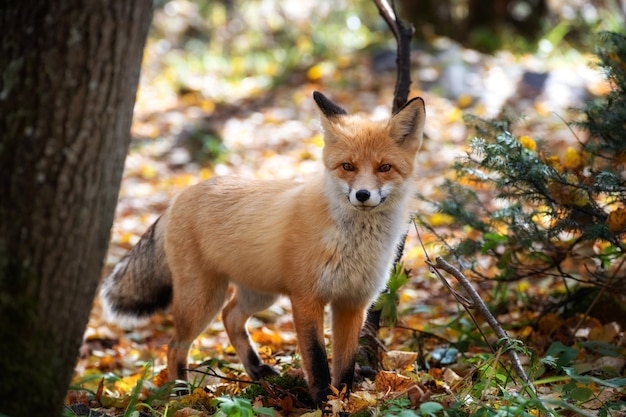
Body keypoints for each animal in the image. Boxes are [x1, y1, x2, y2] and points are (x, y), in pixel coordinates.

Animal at [101, 92, 424, 404]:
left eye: (384, 168)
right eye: (348, 167)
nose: (362, 194)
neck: (354, 245)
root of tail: (179, 196)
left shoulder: (352, 302)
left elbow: (344, 365)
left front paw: (344, 401)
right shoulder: (306, 298)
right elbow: (317, 360)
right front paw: (322, 402)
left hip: (259, 294)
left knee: (230, 317)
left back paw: (255, 370)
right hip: (202, 300)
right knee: (175, 345)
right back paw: (181, 394)